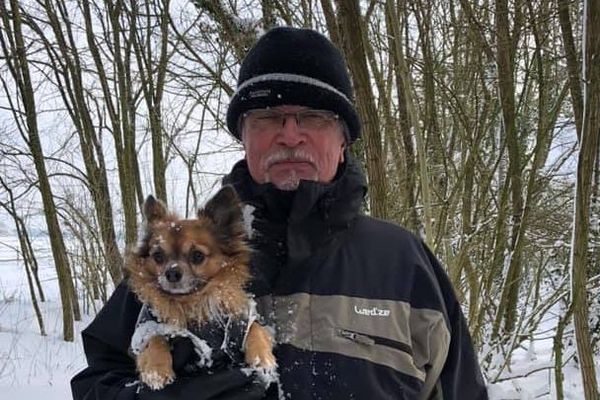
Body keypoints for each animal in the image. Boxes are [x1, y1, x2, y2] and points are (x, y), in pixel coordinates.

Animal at [126, 187, 276, 390]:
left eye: (197, 256)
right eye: (157, 256)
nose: (172, 273)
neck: (192, 302)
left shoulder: (242, 318)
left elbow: (256, 329)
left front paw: (262, 357)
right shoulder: (145, 327)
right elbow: (154, 337)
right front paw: (155, 369)